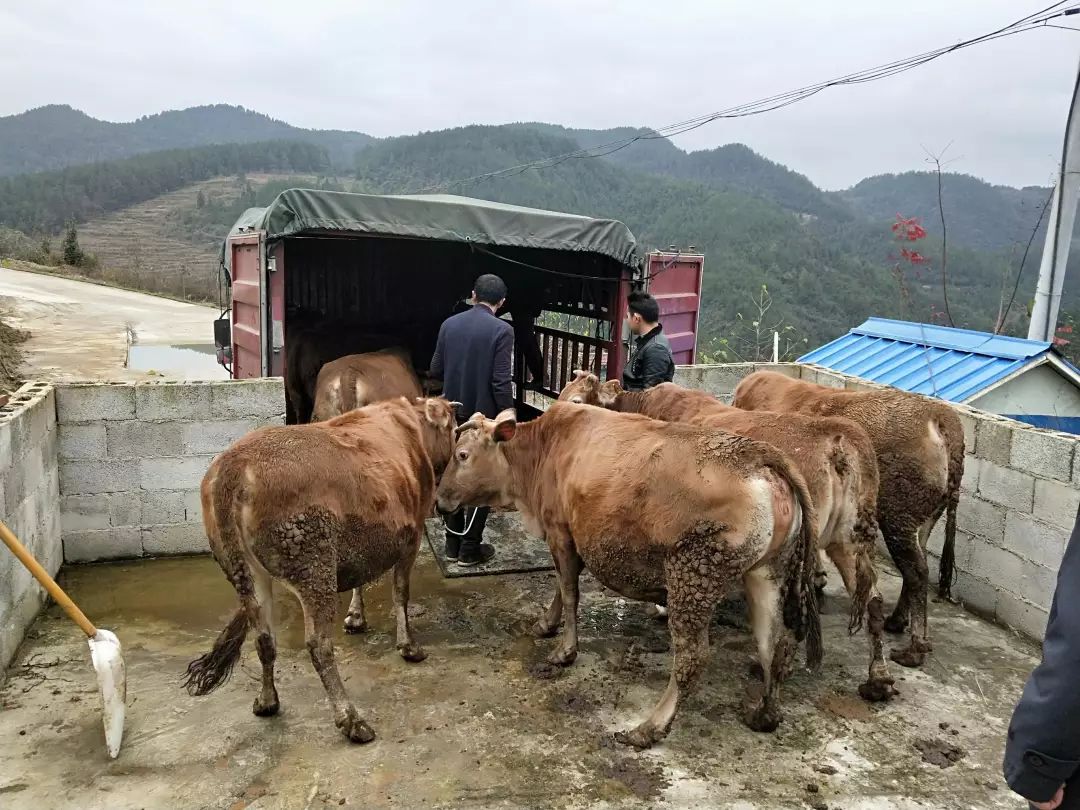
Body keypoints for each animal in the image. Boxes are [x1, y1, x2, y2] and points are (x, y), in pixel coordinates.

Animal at [181, 397, 455, 747]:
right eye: (454, 427)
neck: (412, 426)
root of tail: (234, 465)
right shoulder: (412, 534)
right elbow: (400, 593)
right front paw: (408, 646)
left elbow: (362, 581)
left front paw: (356, 616)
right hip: (314, 563)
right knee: (318, 645)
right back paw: (352, 720)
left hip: (246, 572)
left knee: (264, 638)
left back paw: (267, 701)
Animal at [429, 403, 816, 751]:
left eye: (462, 455)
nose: (438, 500)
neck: (543, 450)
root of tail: (757, 455)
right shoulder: (569, 537)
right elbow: (559, 587)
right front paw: (545, 623)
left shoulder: (560, 532)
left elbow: (569, 591)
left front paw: (564, 651)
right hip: (767, 573)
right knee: (773, 645)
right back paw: (765, 714)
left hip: (692, 575)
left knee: (692, 658)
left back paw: (648, 728)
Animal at [557, 378, 894, 699]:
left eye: (577, 400)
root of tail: (837, 437)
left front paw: (662, 608)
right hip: (849, 542)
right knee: (873, 600)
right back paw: (878, 679)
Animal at [734, 371, 963, 669]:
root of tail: (938, 414)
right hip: (922, 521)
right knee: (917, 565)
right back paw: (896, 622)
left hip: (897, 520)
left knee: (917, 571)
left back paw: (914, 648)